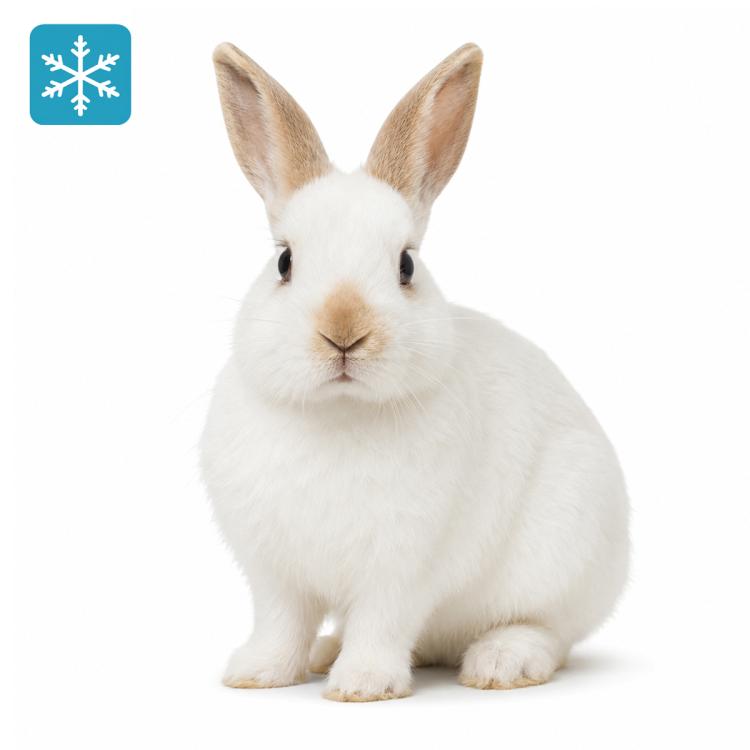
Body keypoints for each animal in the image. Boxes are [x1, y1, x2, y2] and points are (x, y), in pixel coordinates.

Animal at [201, 41, 629, 702]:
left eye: (405, 265)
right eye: (284, 261)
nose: (344, 332)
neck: (340, 413)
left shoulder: (403, 568)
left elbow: (383, 624)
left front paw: (362, 686)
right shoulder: (276, 575)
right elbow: (280, 625)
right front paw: (257, 674)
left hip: (565, 552)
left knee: (548, 630)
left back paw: (501, 662)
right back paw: (326, 651)